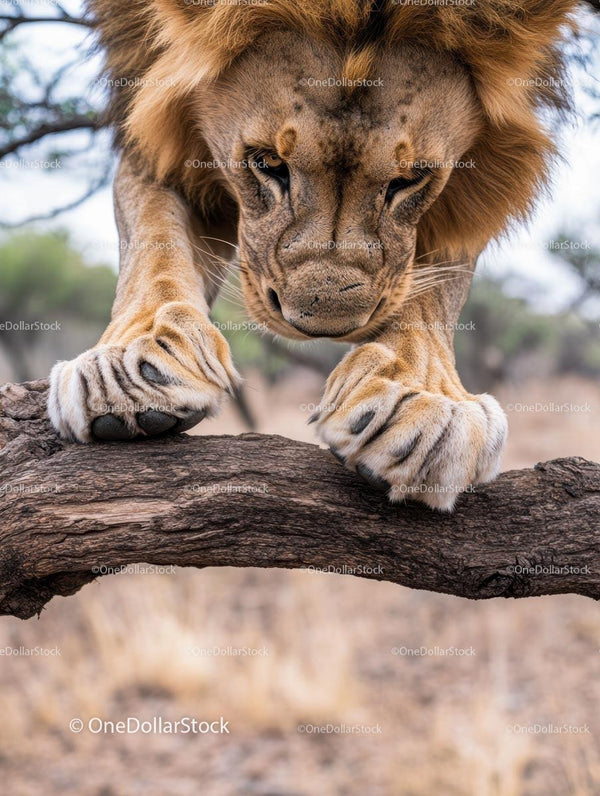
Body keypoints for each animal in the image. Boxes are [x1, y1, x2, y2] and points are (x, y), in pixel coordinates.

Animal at [48, 0, 580, 510]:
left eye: (409, 179)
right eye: (267, 163)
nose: (323, 328)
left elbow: (434, 289)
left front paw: (423, 401)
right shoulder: (144, 106)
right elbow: (153, 238)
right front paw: (126, 370)